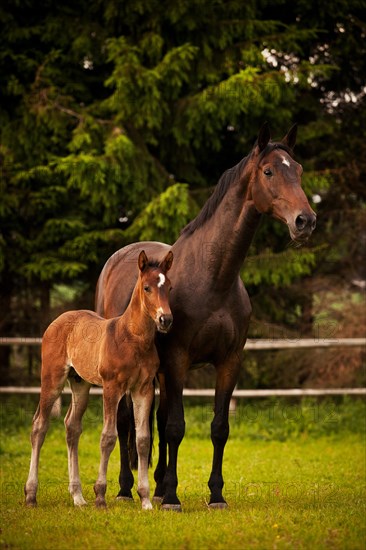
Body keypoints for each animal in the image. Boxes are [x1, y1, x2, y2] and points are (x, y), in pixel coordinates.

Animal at [25, 252, 174, 512]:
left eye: (170, 287)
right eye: (147, 287)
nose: (165, 319)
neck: (133, 338)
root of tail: (59, 319)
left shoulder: (143, 389)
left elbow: (143, 440)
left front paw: (145, 499)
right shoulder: (112, 388)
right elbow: (108, 437)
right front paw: (101, 496)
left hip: (80, 383)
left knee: (72, 426)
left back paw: (78, 497)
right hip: (52, 378)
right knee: (39, 426)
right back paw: (31, 495)